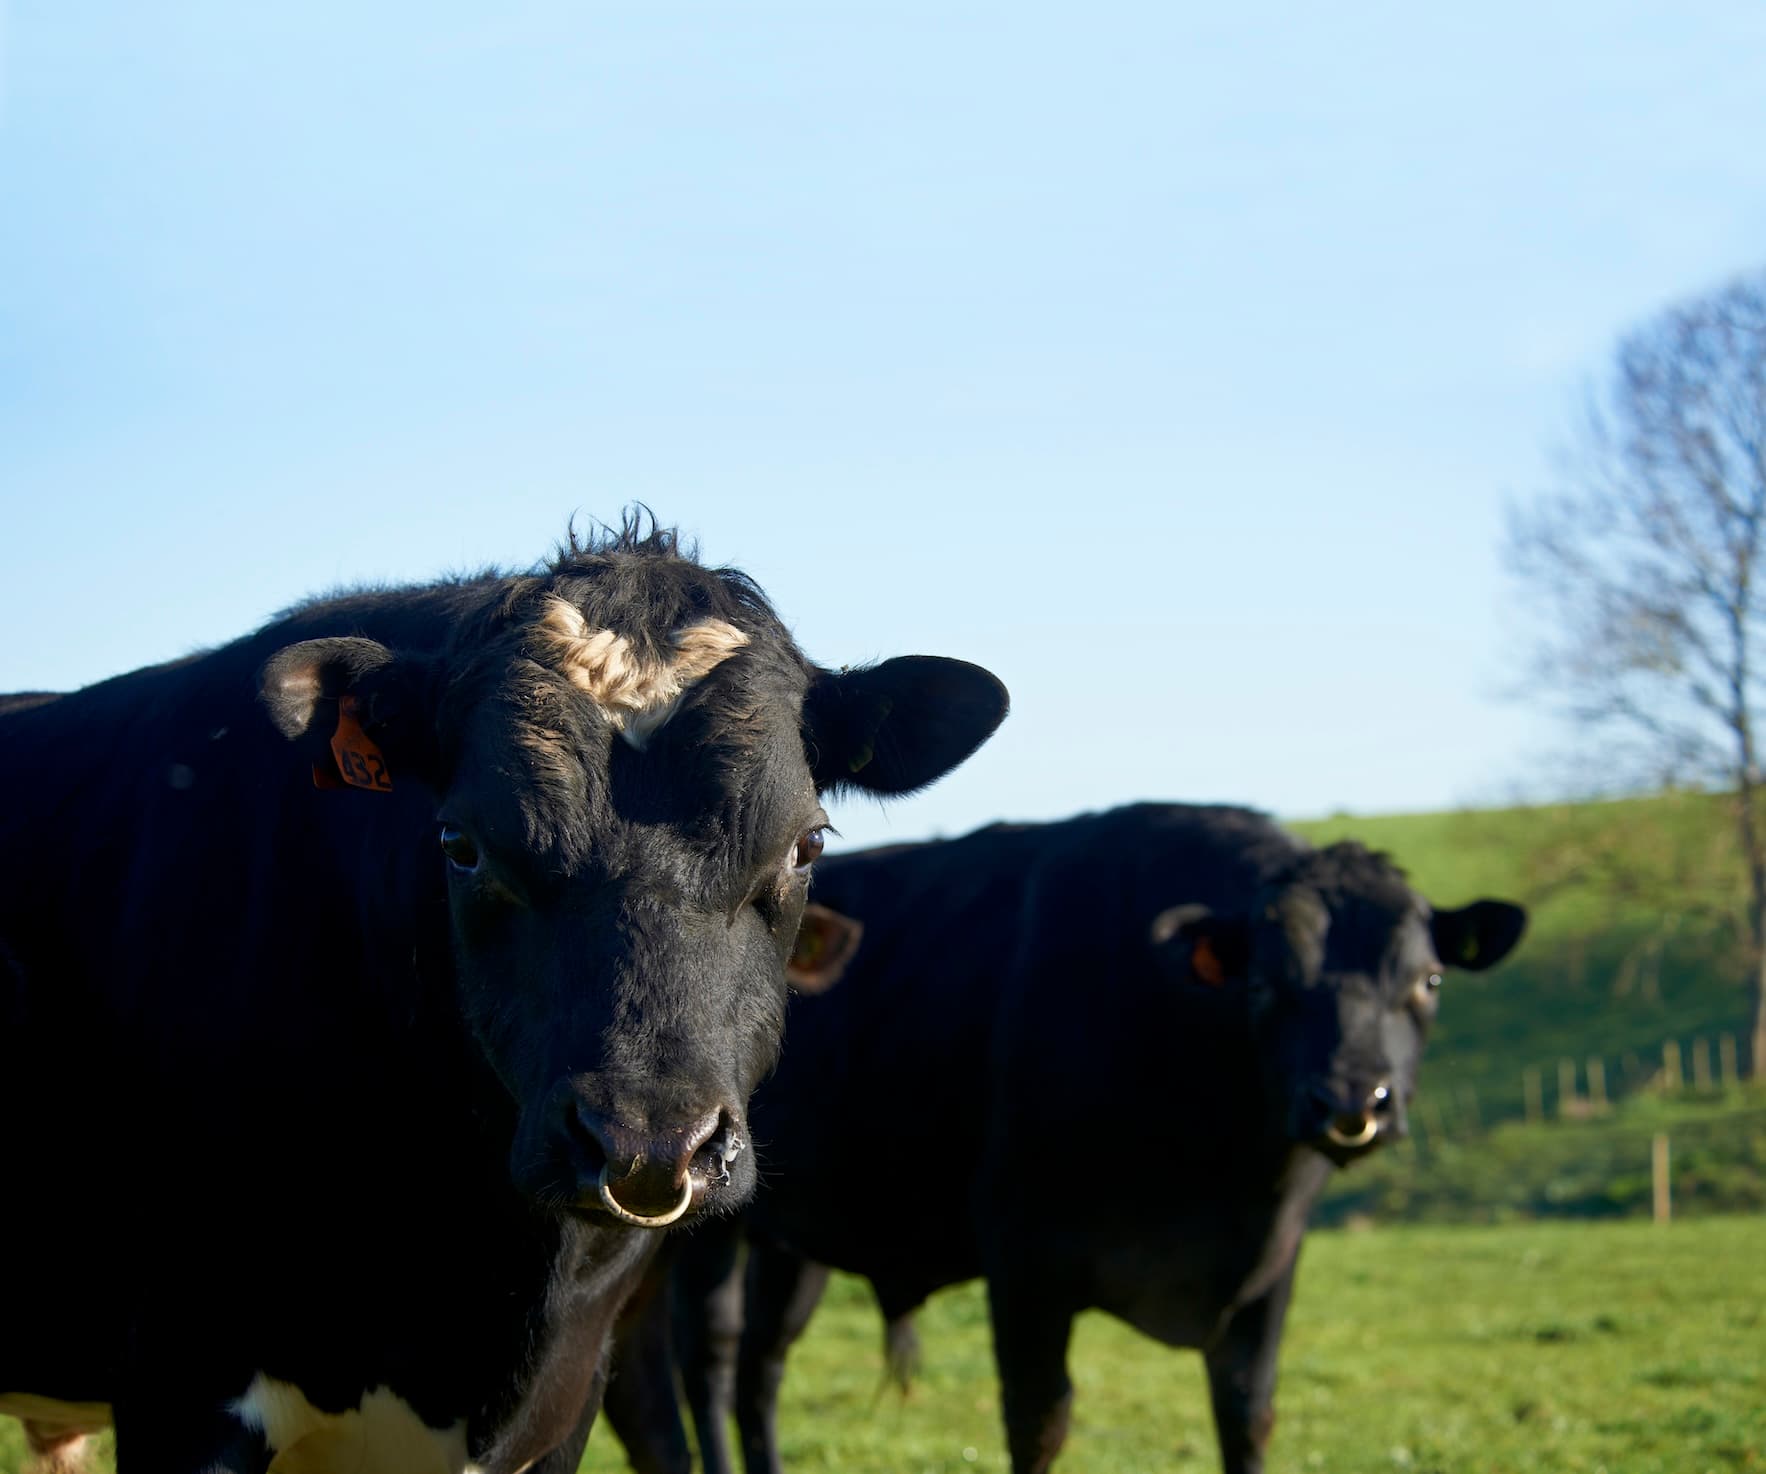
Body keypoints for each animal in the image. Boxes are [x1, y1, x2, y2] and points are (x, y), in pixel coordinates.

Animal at [615, 803, 1525, 1474]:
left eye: (1428, 980)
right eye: (1266, 984)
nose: (1352, 1101)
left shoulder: (1271, 1269)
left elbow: (1246, 1417)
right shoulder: (1024, 1259)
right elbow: (1038, 1424)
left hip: (796, 1235)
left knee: (761, 1368)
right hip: (708, 1223)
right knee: (709, 1362)